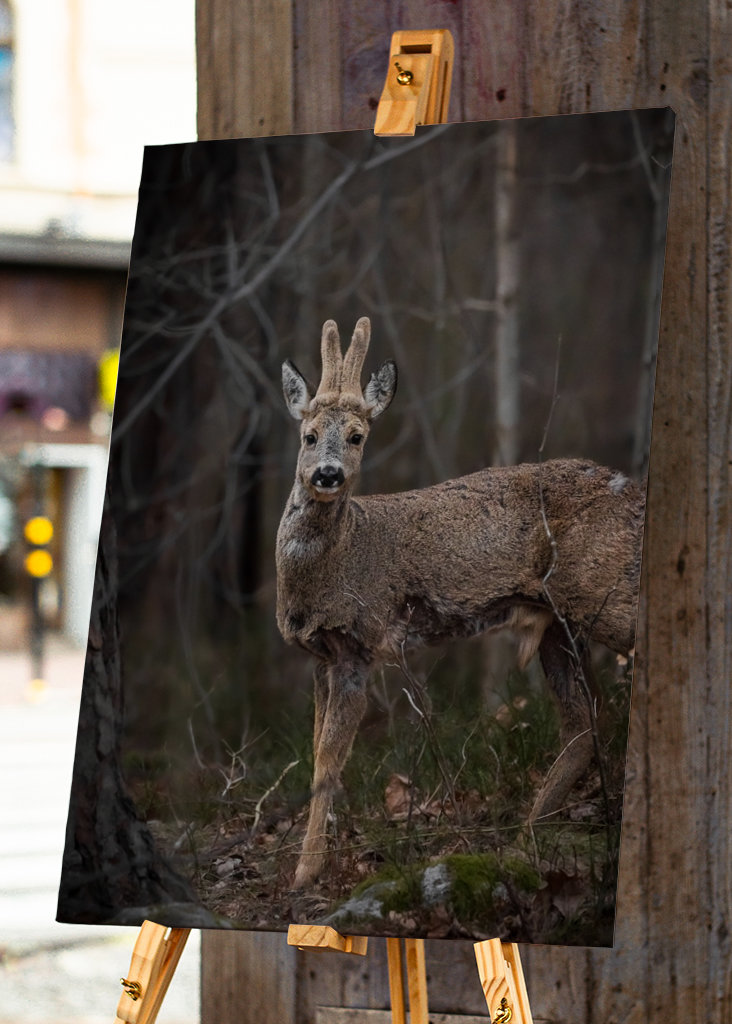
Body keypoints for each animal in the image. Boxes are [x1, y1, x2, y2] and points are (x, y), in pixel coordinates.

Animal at [276, 316, 644, 890]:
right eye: (308, 435)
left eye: (358, 436)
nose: (328, 474)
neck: (339, 558)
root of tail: (637, 495)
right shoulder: (320, 655)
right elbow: (319, 750)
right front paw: (322, 855)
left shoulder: (361, 643)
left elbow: (330, 759)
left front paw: (306, 871)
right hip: (560, 624)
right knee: (584, 723)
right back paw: (523, 839)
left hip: (605, 592)